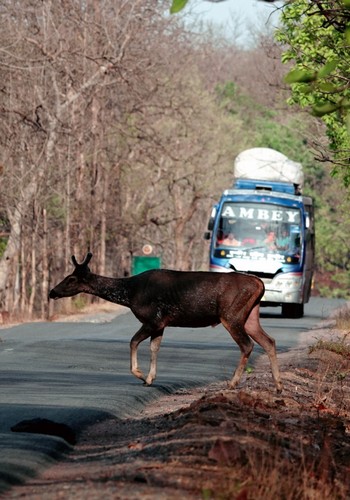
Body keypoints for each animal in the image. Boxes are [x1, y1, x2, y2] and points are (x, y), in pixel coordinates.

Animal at [49, 252, 284, 392]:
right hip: (250, 316)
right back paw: (278, 385)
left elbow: (133, 342)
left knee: (247, 345)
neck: (129, 294)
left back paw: (233, 382)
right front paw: (150, 377)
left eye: (71, 279)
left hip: (231, 315)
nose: (52, 292)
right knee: (269, 341)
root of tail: (260, 283)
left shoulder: (152, 319)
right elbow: (154, 348)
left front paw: (140, 375)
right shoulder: (161, 324)